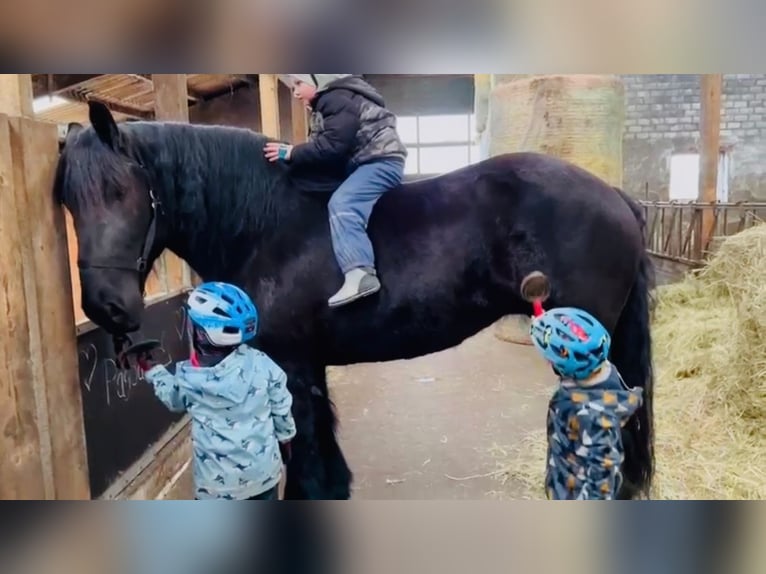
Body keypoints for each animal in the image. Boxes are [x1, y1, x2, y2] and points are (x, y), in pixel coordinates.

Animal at [54, 100, 655, 500]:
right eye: (67, 201)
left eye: (120, 192)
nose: (106, 307)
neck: (266, 224)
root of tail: (614, 195)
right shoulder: (306, 366)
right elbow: (319, 440)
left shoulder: (290, 365)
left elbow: (303, 448)